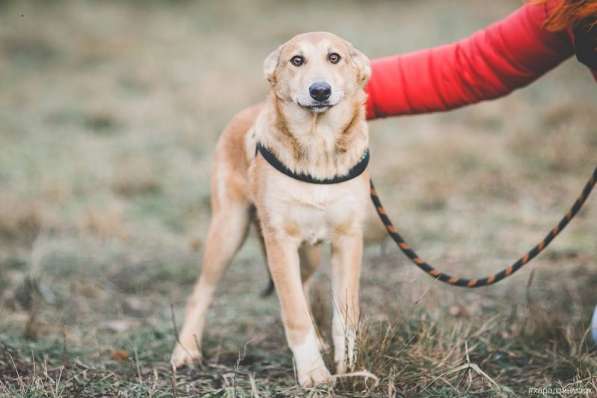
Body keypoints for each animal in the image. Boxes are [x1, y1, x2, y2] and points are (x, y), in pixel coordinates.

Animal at [170, 32, 370, 388]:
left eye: (334, 58)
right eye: (297, 60)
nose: (320, 91)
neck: (317, 147)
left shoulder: (349, 239)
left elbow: (345, 313)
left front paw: (349, 367)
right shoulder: (280, 241)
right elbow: (294, 312)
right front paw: (314, 373)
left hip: (310, 253)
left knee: (303, 285)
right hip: (228, 229)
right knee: (202, 291)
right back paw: (186, 350)